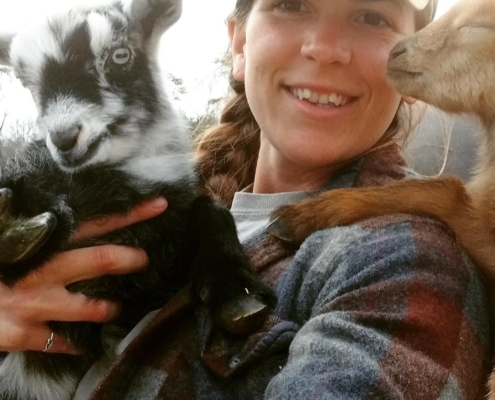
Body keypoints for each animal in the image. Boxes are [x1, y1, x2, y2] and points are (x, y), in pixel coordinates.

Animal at [0, 0, 278, 400]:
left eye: (120, 55)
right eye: (26, 80)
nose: (64, 138)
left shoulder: (159, 270)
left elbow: (210, 209)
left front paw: (236, 292)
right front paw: (16, 221)